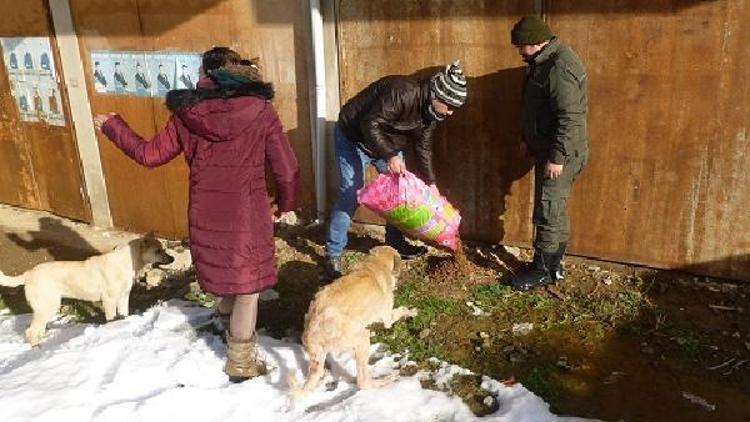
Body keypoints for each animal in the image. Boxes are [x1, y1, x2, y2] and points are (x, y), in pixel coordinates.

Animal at [290, 244, 418, 398]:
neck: (375, 264)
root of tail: (312, 332)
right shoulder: (388, 318)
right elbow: (401, 311)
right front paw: (411, 312)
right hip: (362, 339)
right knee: (363, 381)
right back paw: (385, 380)